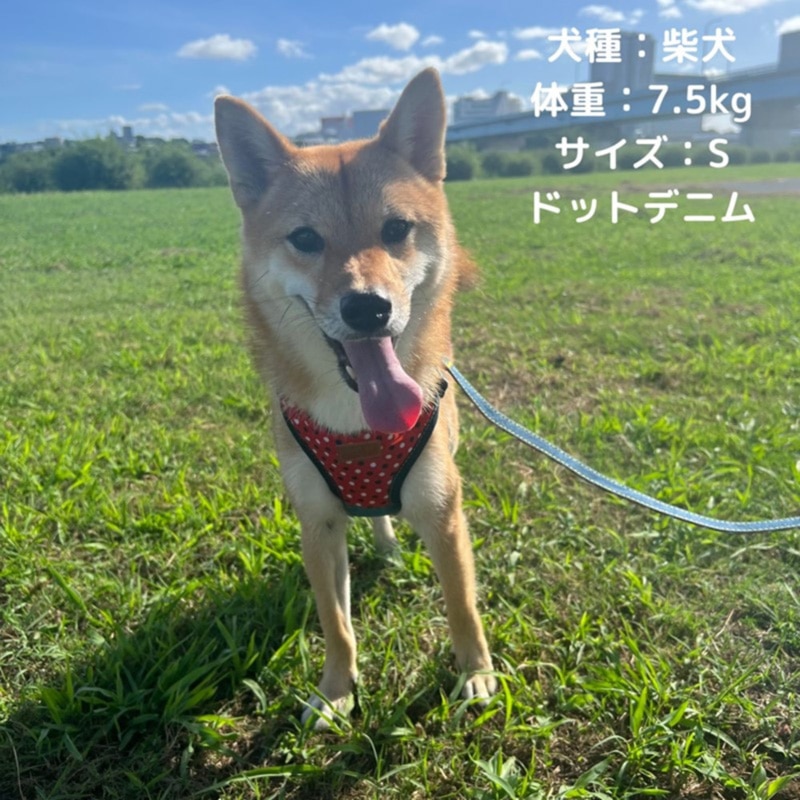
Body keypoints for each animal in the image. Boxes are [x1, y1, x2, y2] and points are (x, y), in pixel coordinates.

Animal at [214, 67, 497, 728]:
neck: (358, 422)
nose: (367, 307)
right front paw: (336, 691)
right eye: (304, 238)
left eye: (396, 230)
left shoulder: (443, 510)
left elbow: (462, 604)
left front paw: (475, 674)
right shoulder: (316, 522)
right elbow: (335, 623)